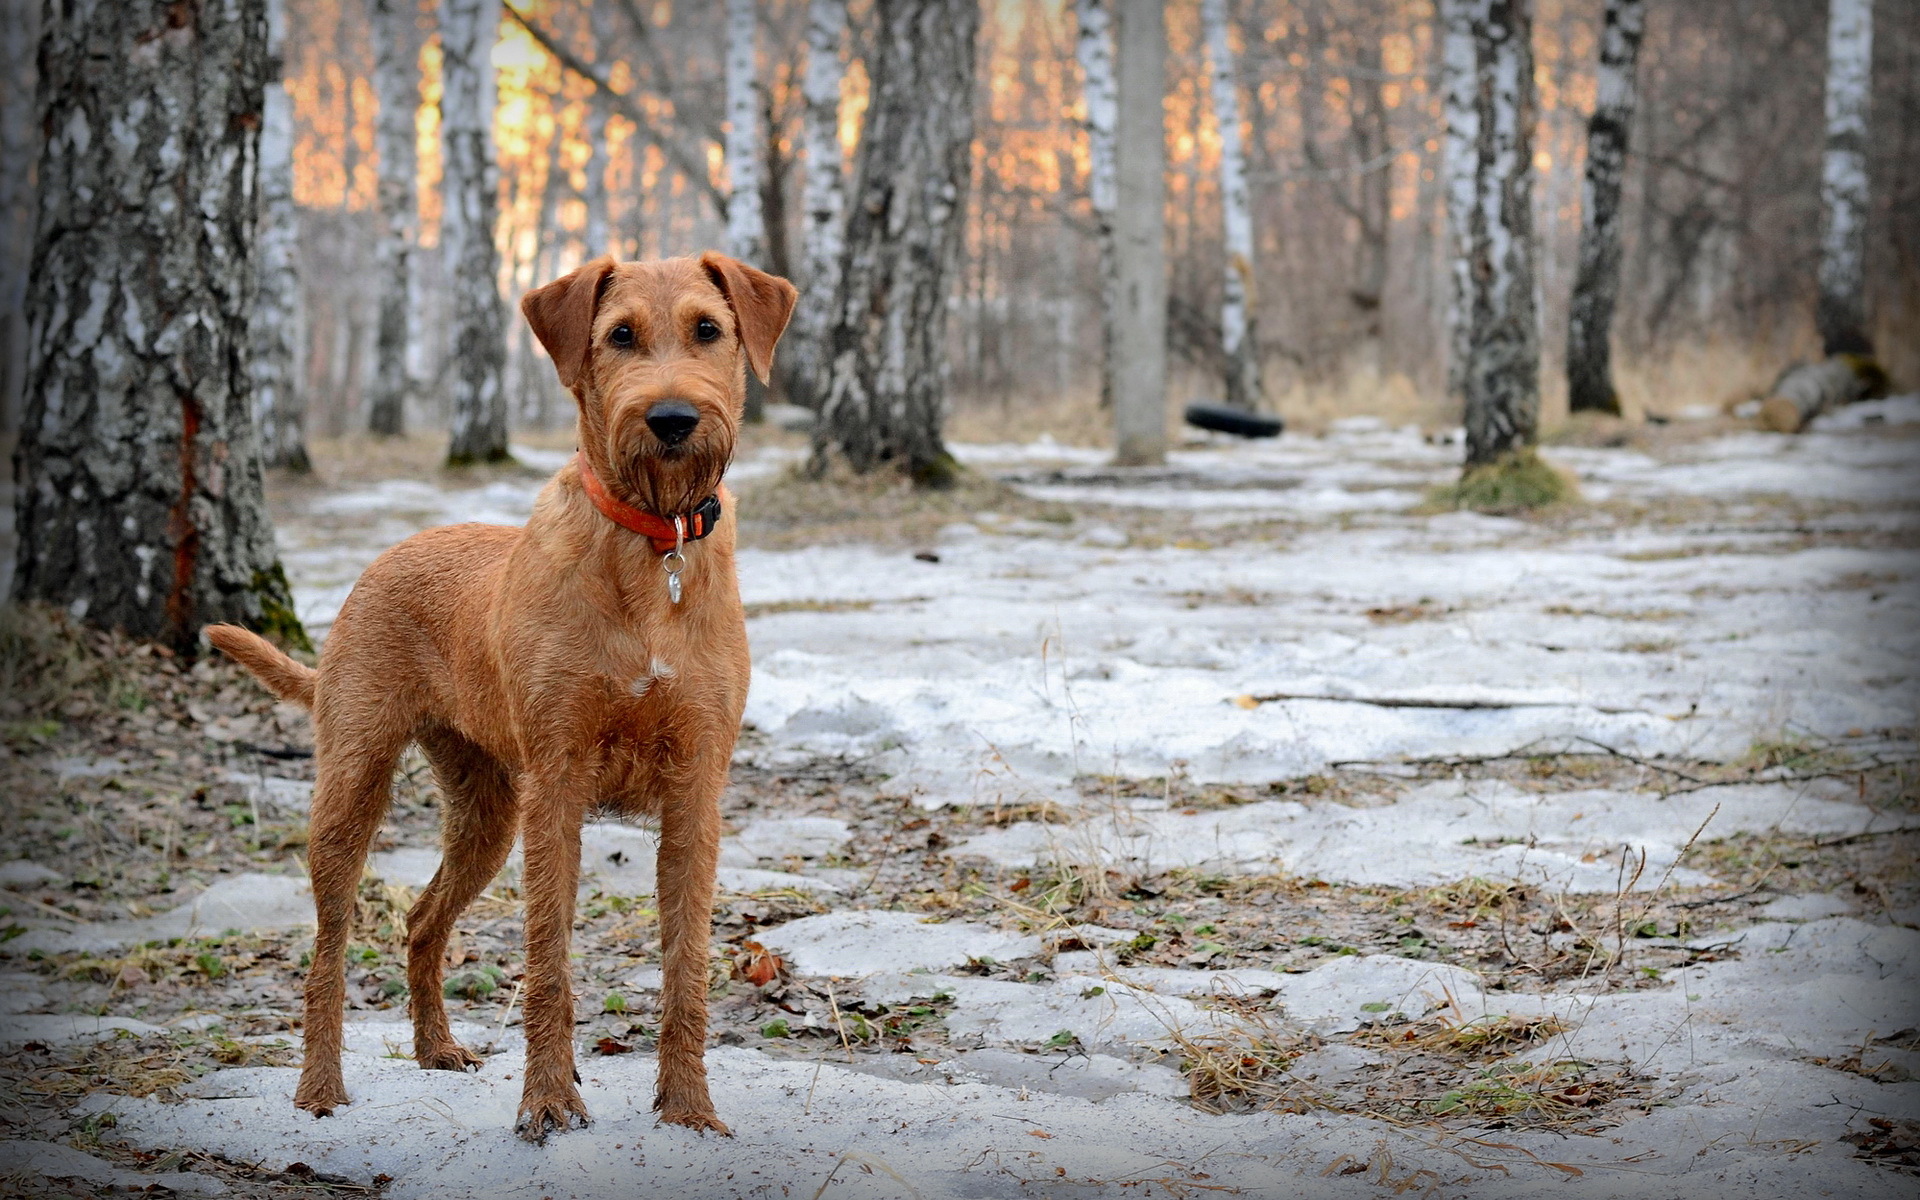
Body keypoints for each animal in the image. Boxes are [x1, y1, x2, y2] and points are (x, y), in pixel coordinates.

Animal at [200, 249, 787, 1144]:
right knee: (329, 950)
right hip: (354, 785)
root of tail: (387, 558)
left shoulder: (697, 790)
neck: (650, 551)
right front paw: (547, 1101)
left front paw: (689, 1107)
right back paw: (320, 1087)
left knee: (421, 922)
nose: (672, 419)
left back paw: (436, 1049)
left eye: (708, 329)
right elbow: (548, 960)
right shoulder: (558, 785)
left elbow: (686, 965)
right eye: (620, 335)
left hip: (486, 810)